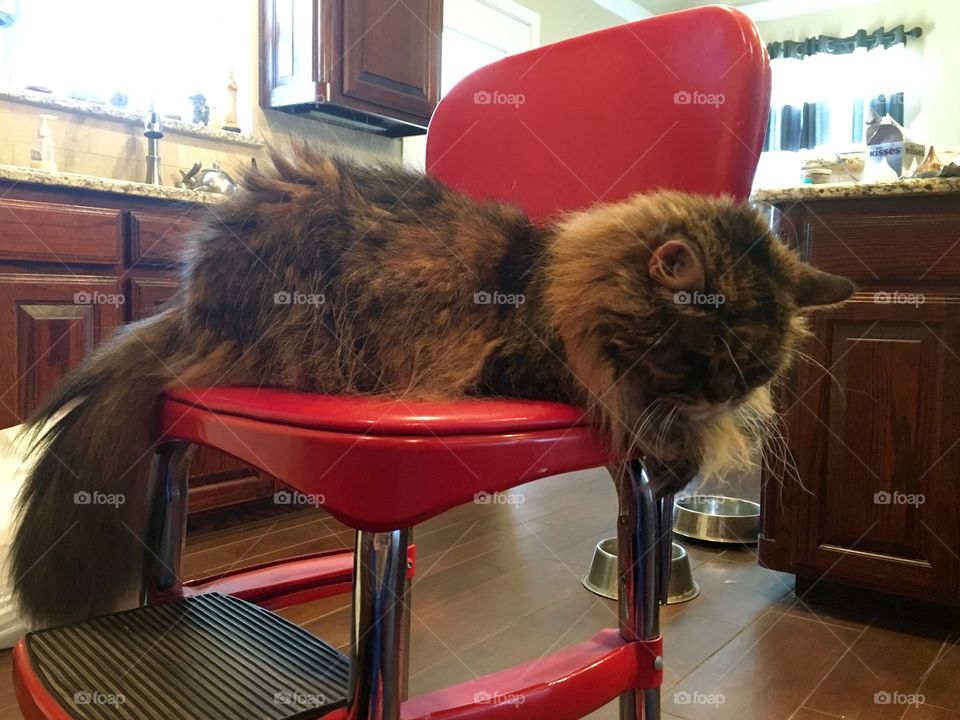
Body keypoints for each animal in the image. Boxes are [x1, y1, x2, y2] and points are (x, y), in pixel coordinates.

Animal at [9, 146, 856, 624]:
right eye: (701, 357)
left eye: (753, 370)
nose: (719, 396)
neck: (557, 280)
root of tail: (188, 303)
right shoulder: (530, 362)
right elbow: (630, 406)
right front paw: (675, 442)